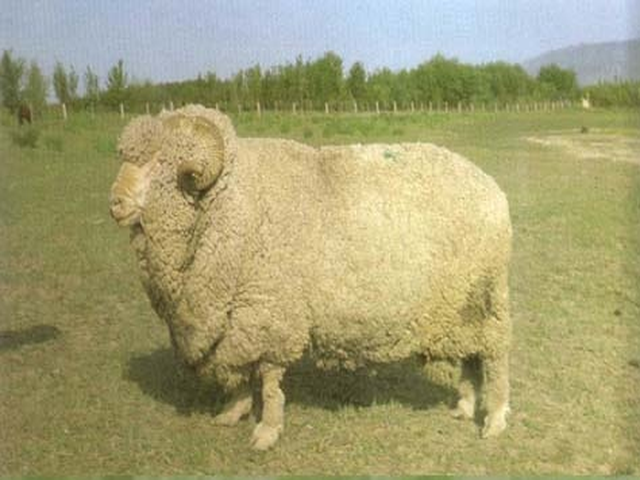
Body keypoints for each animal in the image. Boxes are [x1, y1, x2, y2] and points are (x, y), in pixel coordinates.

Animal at [110, 105, 512, 450]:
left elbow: (269, 381)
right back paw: (464, 407)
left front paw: (267, 431)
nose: (115, 202)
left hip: (488, 301)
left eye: (162, 163)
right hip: (463, 308)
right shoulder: (237, 320)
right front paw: (233, 412)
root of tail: (492, 188)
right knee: (471, 358)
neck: (230, 200)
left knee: (494, 359)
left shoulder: (268, 312)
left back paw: (494, 420)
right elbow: (240, 372)